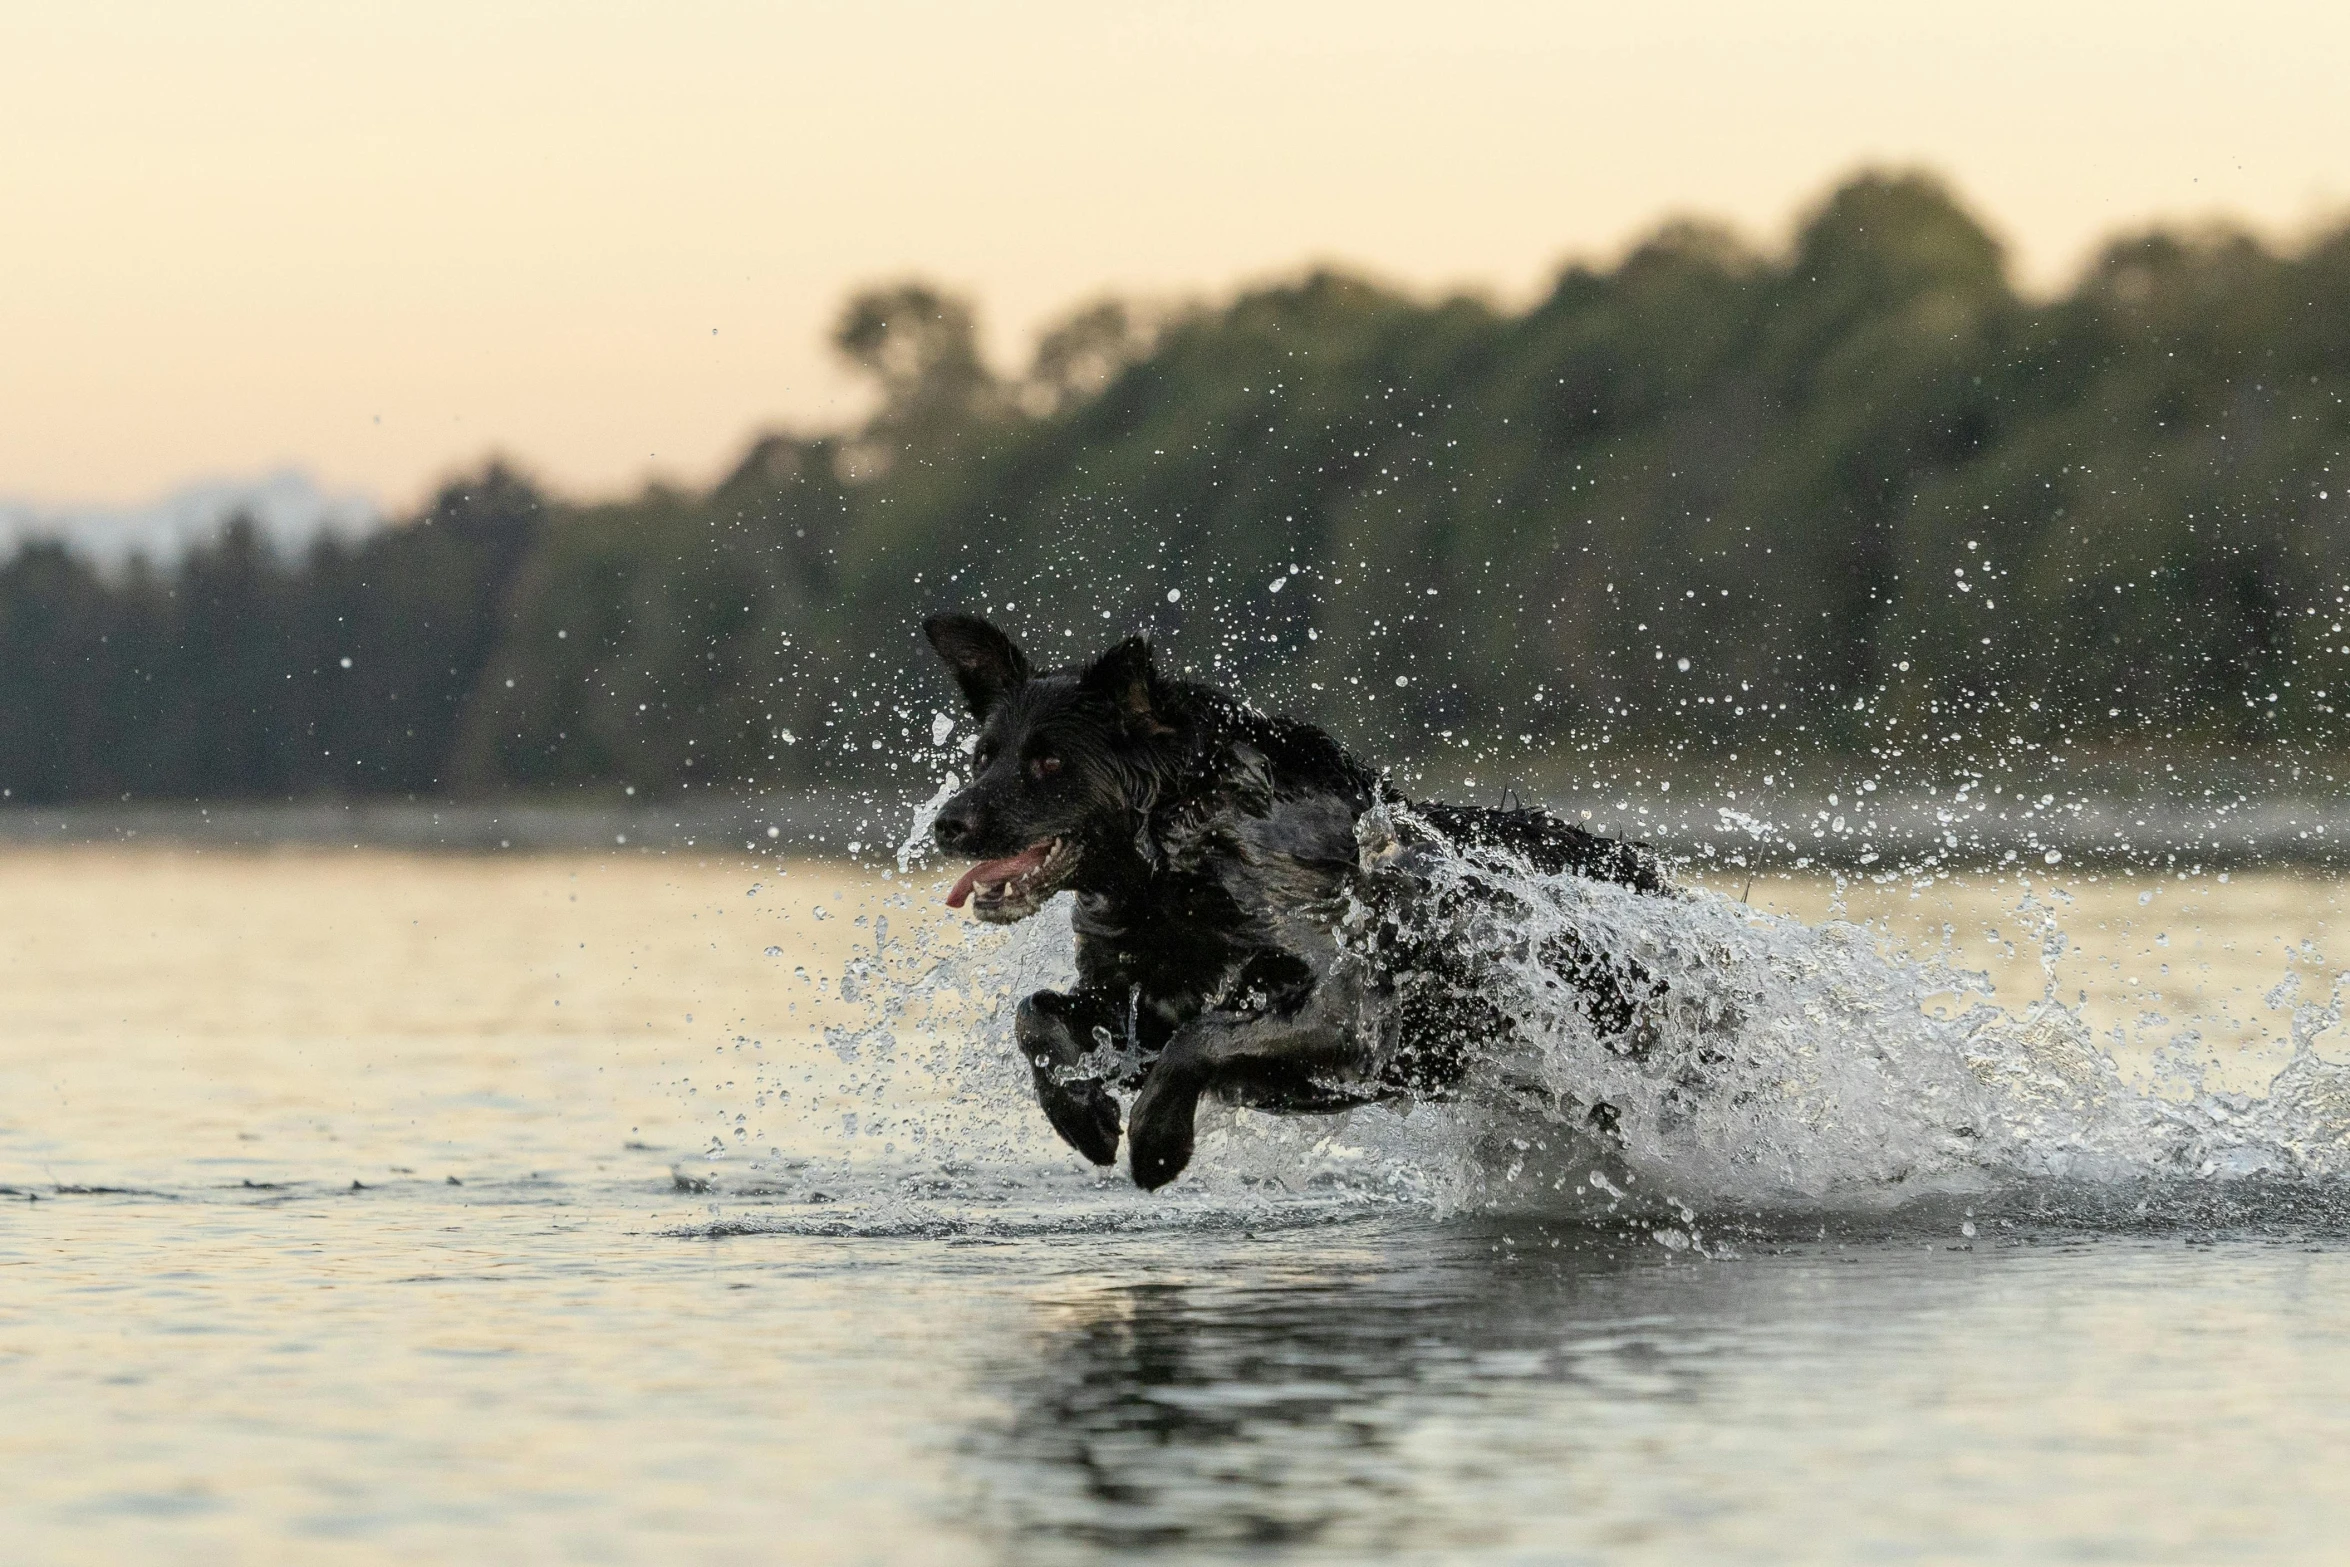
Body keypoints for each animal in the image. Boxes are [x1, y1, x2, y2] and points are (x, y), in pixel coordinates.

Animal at [916, 610, 1673, 1188]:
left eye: (1050, 761)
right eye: (984, 756)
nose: (947, 823)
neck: (1182, 869)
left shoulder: (1348, 1012)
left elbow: (1202, 1038)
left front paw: (1157, 1143)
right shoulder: (1138, 1002)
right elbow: (1036, 1013)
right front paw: (1082, 1114)